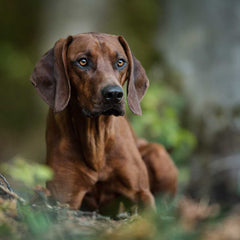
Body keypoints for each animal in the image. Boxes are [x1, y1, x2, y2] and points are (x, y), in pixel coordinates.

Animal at [30, 32, 177, 214]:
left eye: (120, 62)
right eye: (83, 61)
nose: (114, 94)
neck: (96, 138)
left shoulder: (141, 193)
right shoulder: (65, 198)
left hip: (157, 153)